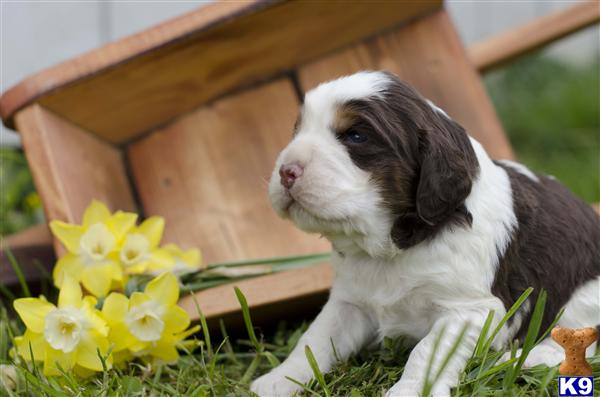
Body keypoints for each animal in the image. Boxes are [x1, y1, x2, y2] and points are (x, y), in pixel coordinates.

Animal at [250, 71, 600, 396]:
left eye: (356, 135)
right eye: (298, 130)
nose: (286, 172)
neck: (392, 245)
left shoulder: (468, 309)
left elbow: (427, 351)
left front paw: (411, 390)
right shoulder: (349, 299)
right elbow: (316, 338)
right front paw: (276, 381)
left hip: (585, 295)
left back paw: (524, 359)